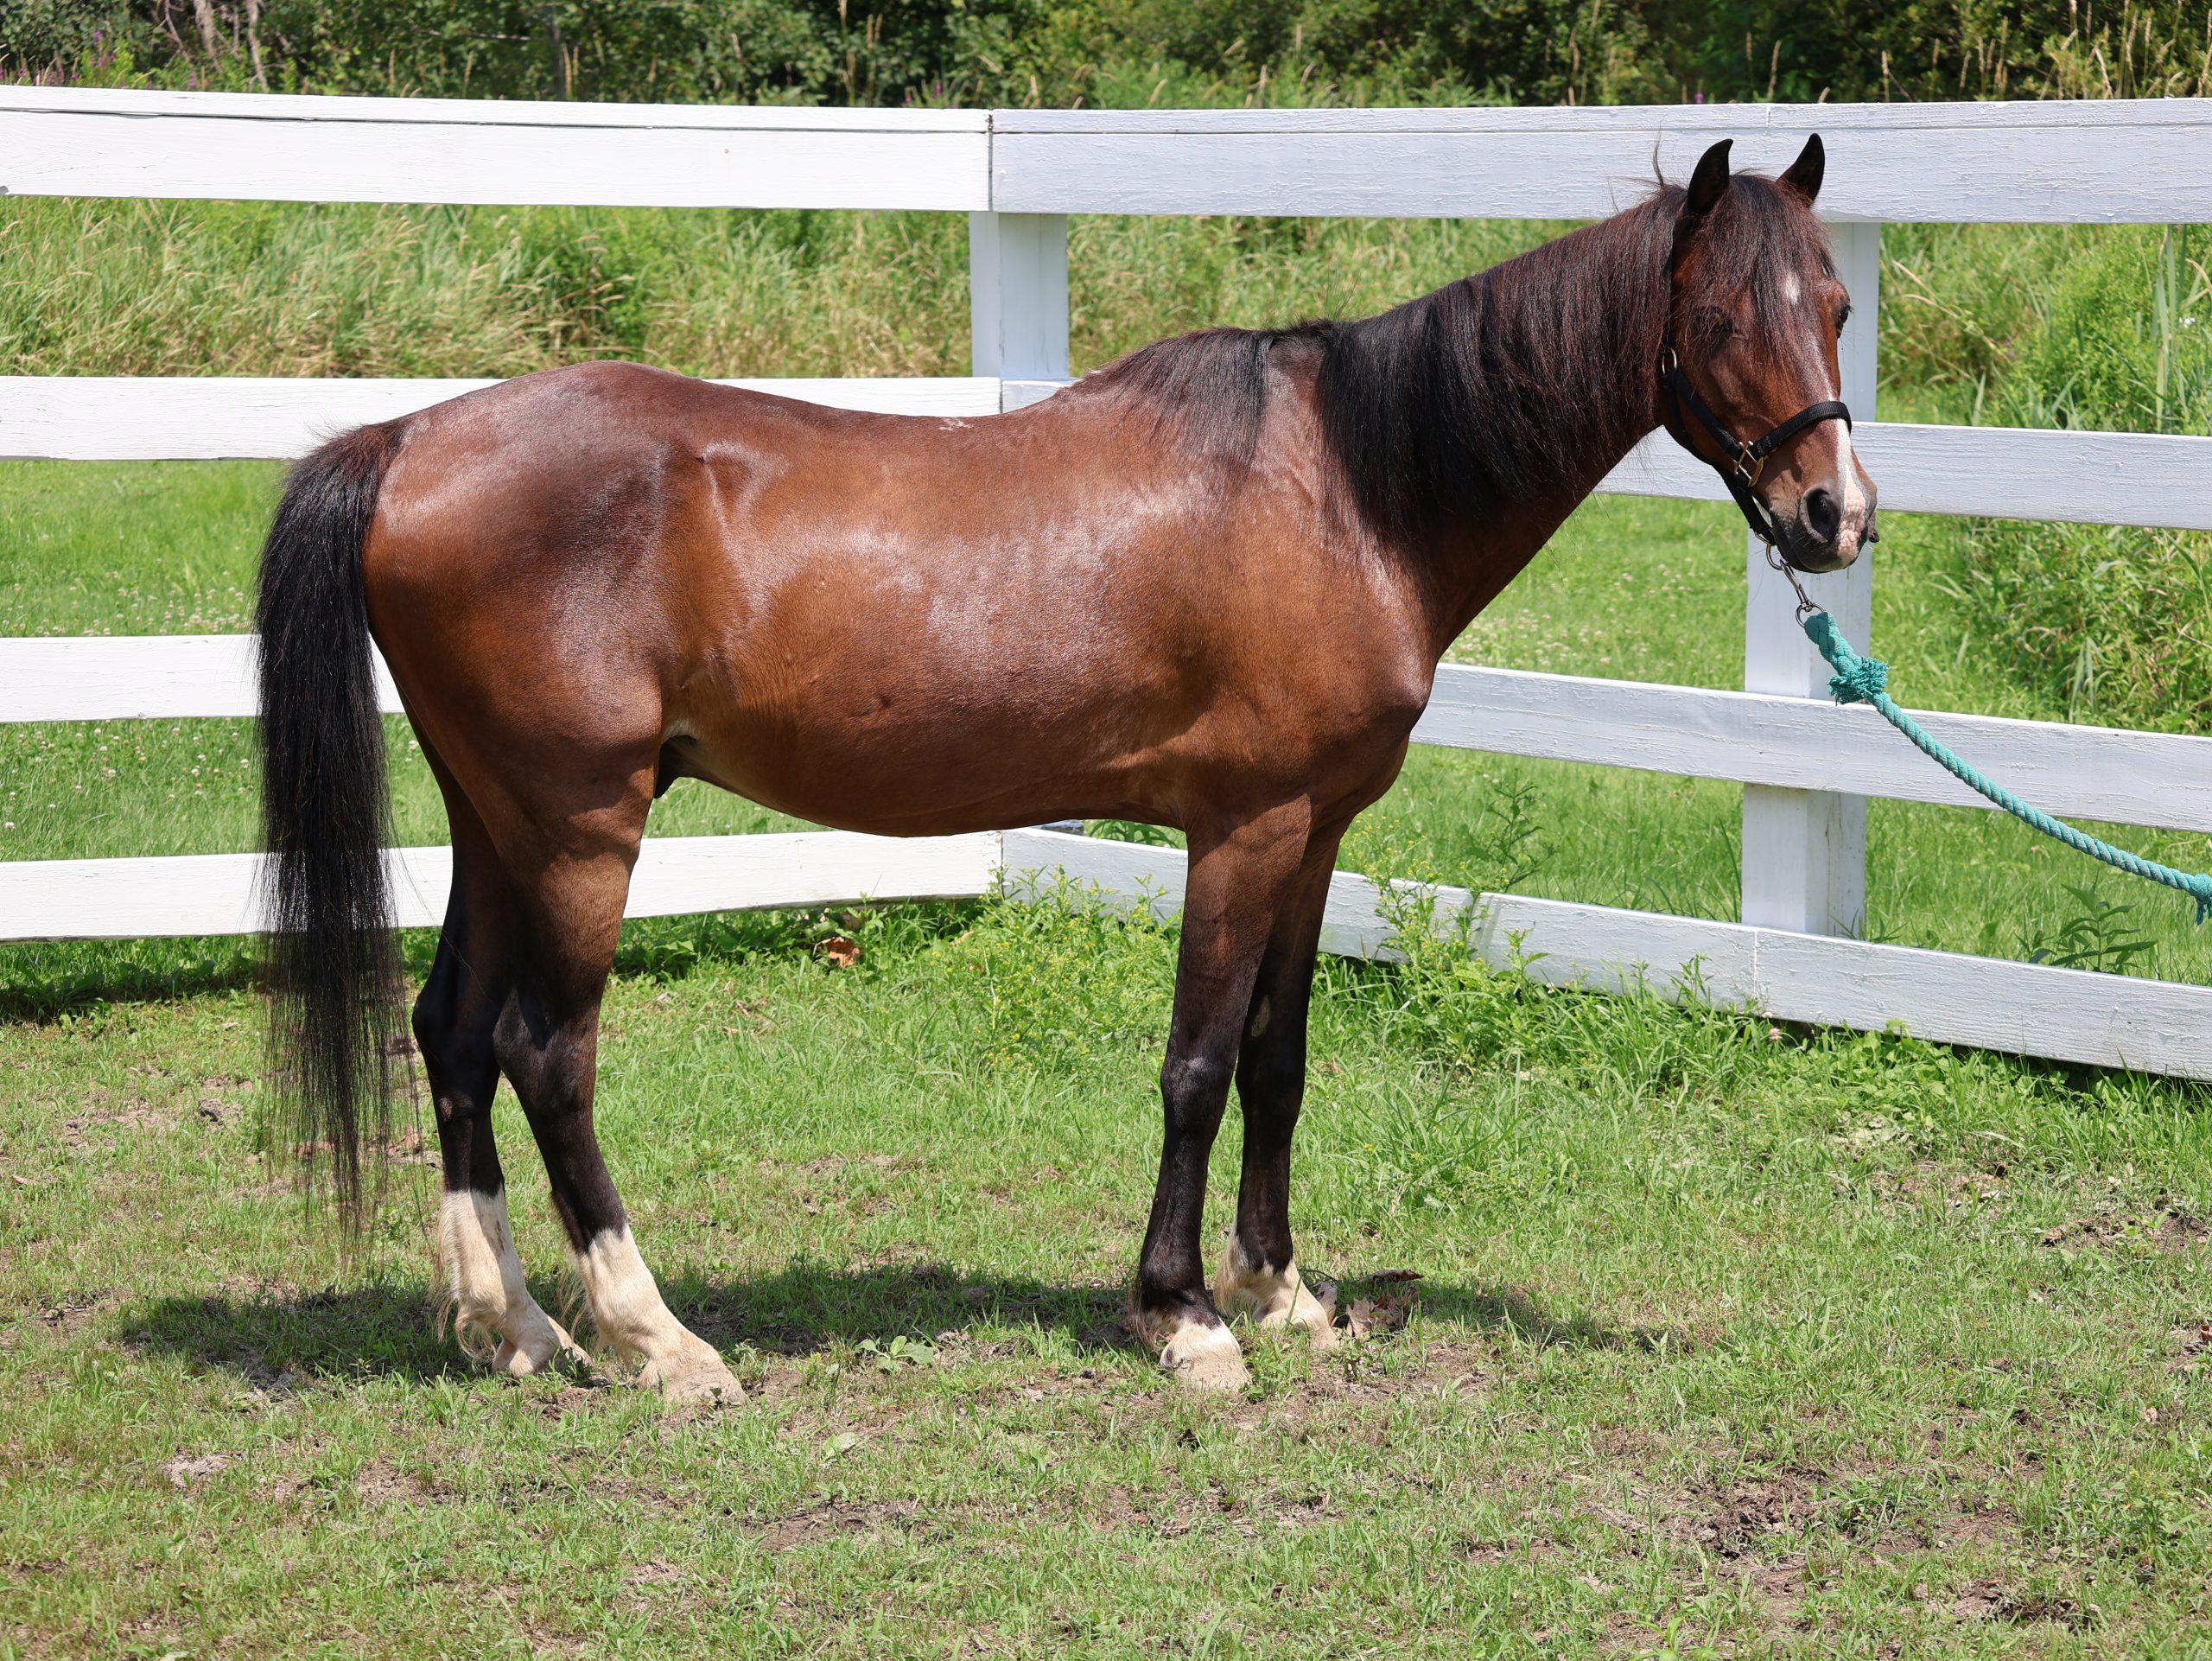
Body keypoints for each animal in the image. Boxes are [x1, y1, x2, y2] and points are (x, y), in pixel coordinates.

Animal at [255, 134, 1874, 1399]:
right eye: (1718, 315)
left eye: (1839, 304)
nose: (1834, 515)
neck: (1347, 485)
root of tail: (407, 440)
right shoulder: (1240, 828)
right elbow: (1198, 1066)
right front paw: (1186, 1316)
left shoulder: (1317, 832)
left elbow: (1278, 1059)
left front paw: (1284, 1292)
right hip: (583, 830)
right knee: (547, 1053)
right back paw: (658, 1339)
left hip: (499, 823)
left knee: (452, 1035)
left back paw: (514, 1326)